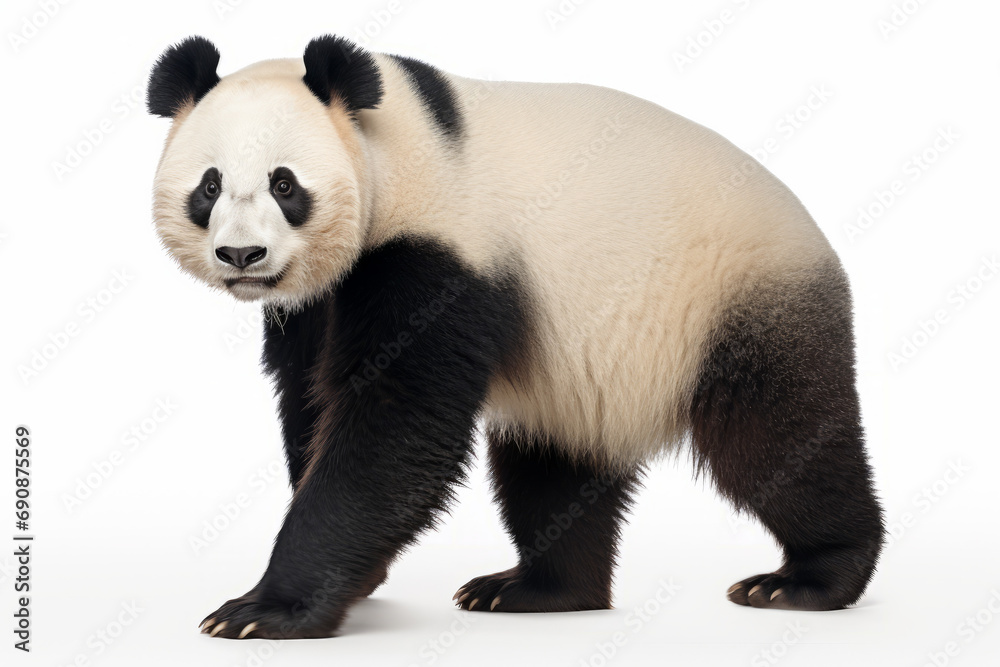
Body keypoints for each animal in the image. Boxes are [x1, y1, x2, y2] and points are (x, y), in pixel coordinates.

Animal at [147, 35, 884, 640]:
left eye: (284, 183)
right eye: (209, 186)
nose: (242, 256)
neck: (392, 143)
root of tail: (815, 233)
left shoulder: (446, 248)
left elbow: (394, 425)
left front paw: (266, 608)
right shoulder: (320, 301)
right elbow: (310, 400)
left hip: (739, 299)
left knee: (775, 440)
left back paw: (811, 577)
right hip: (578, 365)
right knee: (552, 464)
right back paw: (541, 589)